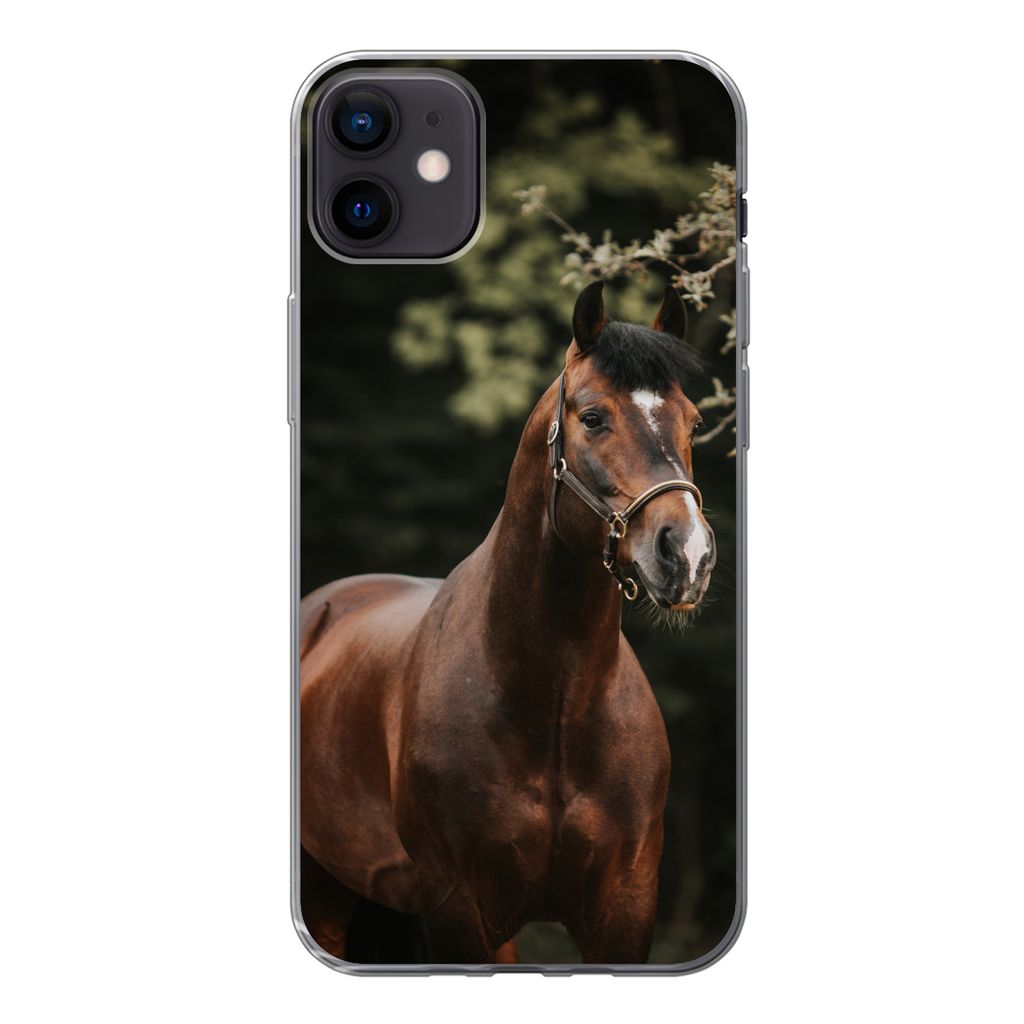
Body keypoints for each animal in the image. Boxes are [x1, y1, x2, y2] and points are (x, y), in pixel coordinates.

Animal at [299, 281, 716, 964]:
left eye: (694, 422)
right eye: (592, 417)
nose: (687, 555)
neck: (553, 705)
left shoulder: (625, 909)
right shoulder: (460, 909)